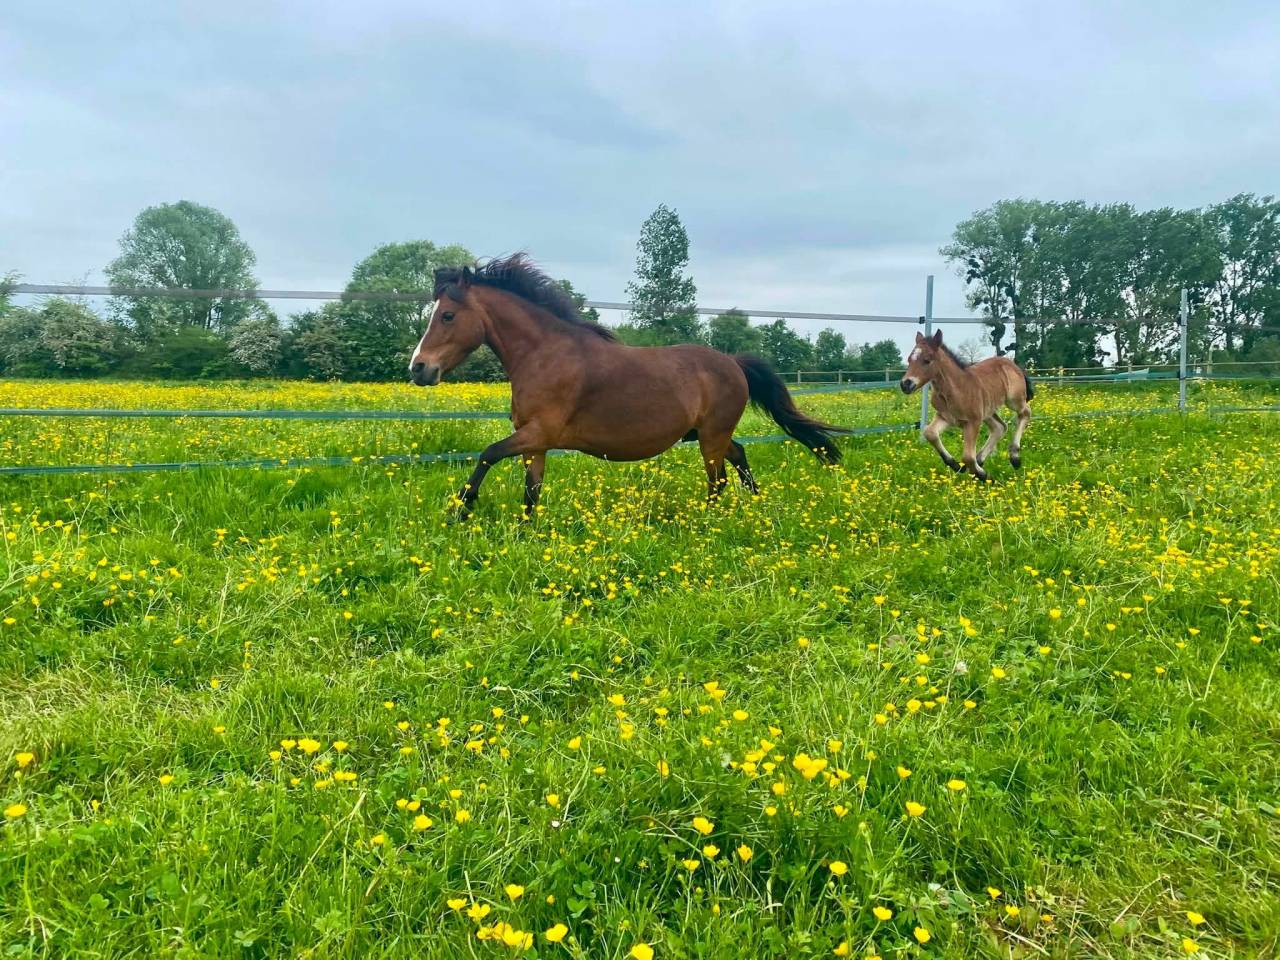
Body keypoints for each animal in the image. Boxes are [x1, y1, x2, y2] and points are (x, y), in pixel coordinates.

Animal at [408, 254, 847, 519]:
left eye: (447, 315)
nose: (418, 368)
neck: (545, 355)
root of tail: (733, 363)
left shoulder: (538, 433)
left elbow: (487, 454)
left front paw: (462, 509)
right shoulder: (535, 443)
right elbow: (531, 492)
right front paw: (524, 531)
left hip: (710, 436)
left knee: (718, 476)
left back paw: (710, 520)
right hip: (707, 433)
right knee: (737, 457)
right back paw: (755, 505)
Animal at [898, 330, 1034, 482]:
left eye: (927, 360)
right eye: (909, 360)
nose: (905, 384)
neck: (953, 389)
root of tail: (1013, 365)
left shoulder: (972, 421)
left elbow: (968, 456)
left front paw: (983, 475)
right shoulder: (945, 417)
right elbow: (930, 433)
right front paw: (957, 466)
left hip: (1013, 400)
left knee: (1025, 412)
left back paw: (1014, 457)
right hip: (987, 410)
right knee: (1000, 427)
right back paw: (980, 460)